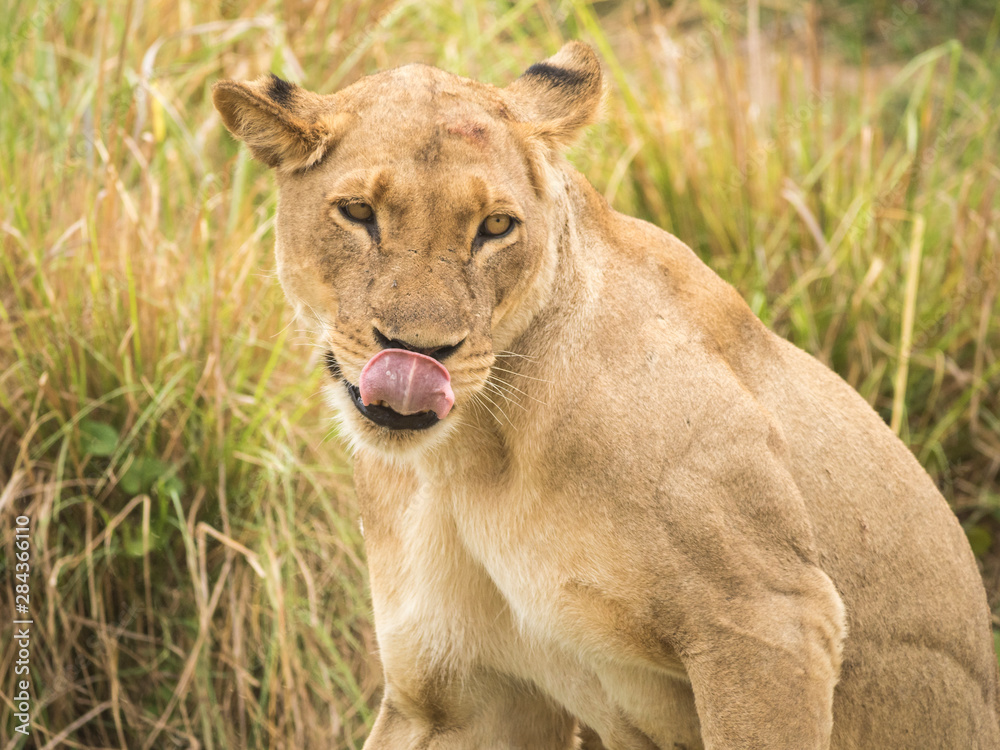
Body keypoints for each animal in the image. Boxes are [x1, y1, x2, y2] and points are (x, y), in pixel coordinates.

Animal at [213, 42, 1000, 749]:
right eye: (357, 213)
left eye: (495, 226)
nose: (418, 353)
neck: (472, 458)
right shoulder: (460, 693)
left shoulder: (771, 620)